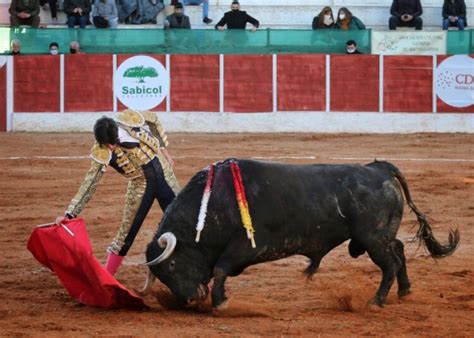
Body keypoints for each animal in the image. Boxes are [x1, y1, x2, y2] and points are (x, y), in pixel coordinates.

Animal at [144, 158, 460, 308]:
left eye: (172, 265)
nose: (189, 300)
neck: (213, 202)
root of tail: (378, 168)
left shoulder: (247, 245)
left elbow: (221, 269)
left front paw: (220, 302)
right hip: (378, 237)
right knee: (399, 251)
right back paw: (405, 292)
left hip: (373, 238)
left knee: (390, 263)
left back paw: (377, 301)